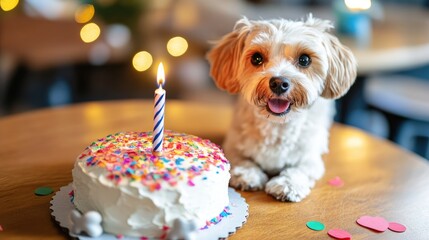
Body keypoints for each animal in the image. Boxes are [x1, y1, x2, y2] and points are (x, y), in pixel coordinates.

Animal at [206, 15, 356, 202]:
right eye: (256, 58)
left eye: (304, 59)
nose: (278, 83)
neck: (277, 126)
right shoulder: (233, 145)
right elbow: (241, 160)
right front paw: (248, 174)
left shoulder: (311, 158)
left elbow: (299, 170)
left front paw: (288, 184)